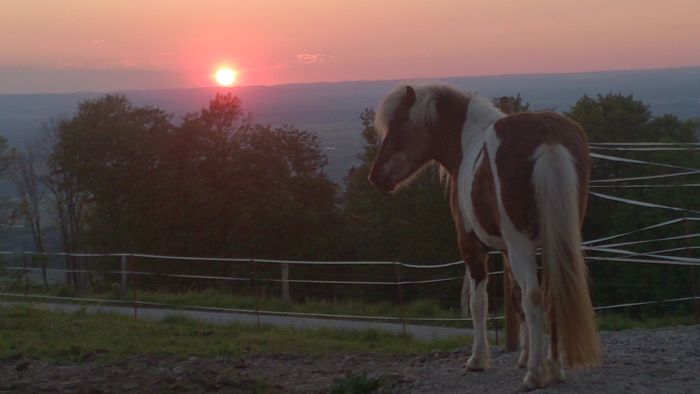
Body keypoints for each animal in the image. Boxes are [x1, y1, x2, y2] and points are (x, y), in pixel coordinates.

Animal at [366, 84, 600, 390]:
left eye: (397, 127)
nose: (376, 177)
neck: (468, 143)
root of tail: (547, 137)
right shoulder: (506, 252)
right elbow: (515, 298)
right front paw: (523, 355)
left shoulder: (472, 247)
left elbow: (480, 304)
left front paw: (478, 359)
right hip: (555, 242)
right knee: (551, 294)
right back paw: (554, 367)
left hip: (522, 245)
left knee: (535, 296)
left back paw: (536, 373)